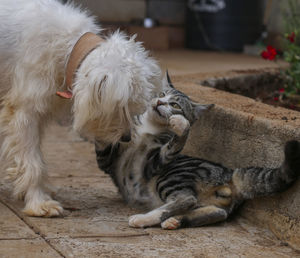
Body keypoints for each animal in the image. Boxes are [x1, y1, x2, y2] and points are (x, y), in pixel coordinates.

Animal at [0, 0, 162, 217]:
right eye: (121, 108)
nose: (126, 138)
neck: (67, 47)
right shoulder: (25, 113)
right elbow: (33, 162)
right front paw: (39, 202)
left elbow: (35, 157)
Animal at [95, 73, 298, 229]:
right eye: (162, 94)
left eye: (175, 105)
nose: (159, 102)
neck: (149, 126)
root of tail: (230, 174)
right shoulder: (108, 161)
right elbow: (104, 145)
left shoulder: (151, 165)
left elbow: (173, 144)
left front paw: (180, 125)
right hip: (208, 200)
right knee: (218, 212)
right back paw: (176, 220)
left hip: (171, 176)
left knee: (186, 199)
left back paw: (144, 219)